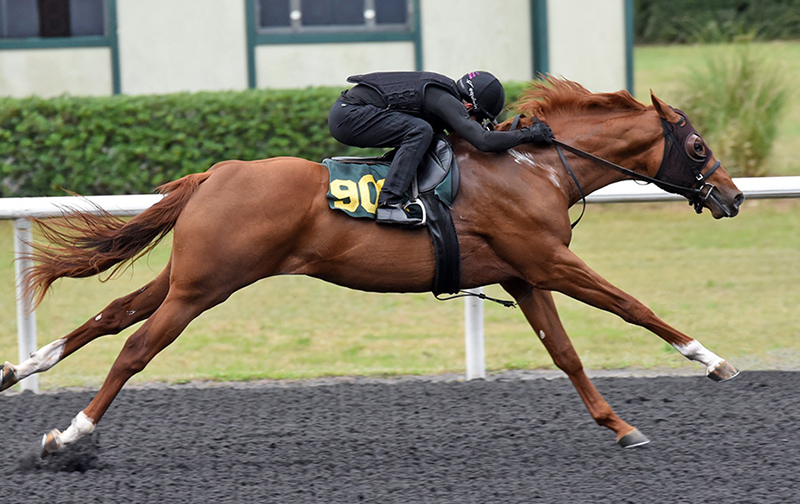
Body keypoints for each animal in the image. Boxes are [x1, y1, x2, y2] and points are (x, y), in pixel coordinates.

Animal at [0, 79, 744, 456]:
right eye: (697, 146)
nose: (733, 196)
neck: (535, 167)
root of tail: (216, 173)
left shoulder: (524, 273)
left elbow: (565, 353)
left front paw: (618, 425)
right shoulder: (551, 259)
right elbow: (632, 306)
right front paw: (711, 359)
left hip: (190, 275)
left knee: (109, 316)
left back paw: (19, 369)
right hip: (205, 286)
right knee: (134, 348)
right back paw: (70, 433)